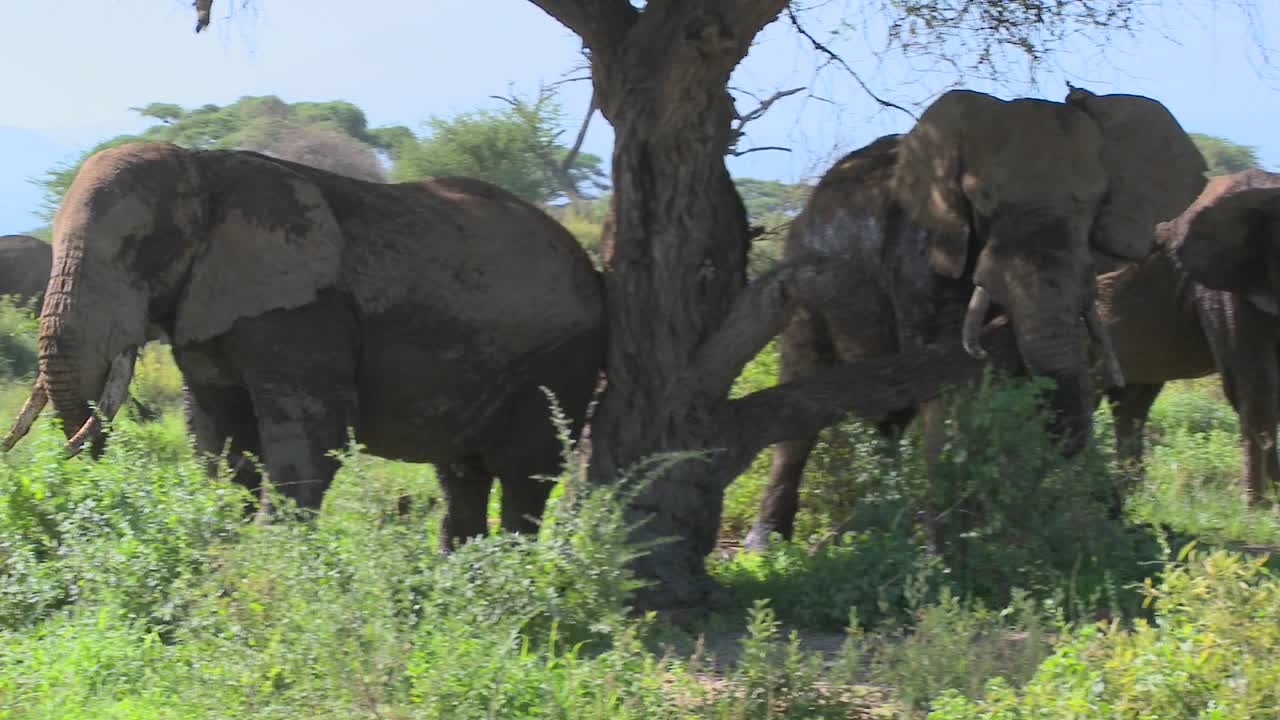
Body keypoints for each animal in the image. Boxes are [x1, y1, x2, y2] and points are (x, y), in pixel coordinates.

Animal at [2, 141, 606, 550]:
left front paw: (275, 565)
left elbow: (311, 433)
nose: (84, 458)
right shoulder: (208, 304)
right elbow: (220, 435)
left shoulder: (302, 308)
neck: (203, 167)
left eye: (137, 250)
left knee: (526, 479)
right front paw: (230, 544)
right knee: (463, 479)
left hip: (561, 360)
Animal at [744, 86, 1207, 548]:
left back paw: (880, 519)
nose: (1112, 506)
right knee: (801, 396)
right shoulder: (922, 252)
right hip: (802, 277)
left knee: (889, 421)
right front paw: (949, 547)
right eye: (983, 199)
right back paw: (768, 545)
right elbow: (947, 384)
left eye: (1093, 203)